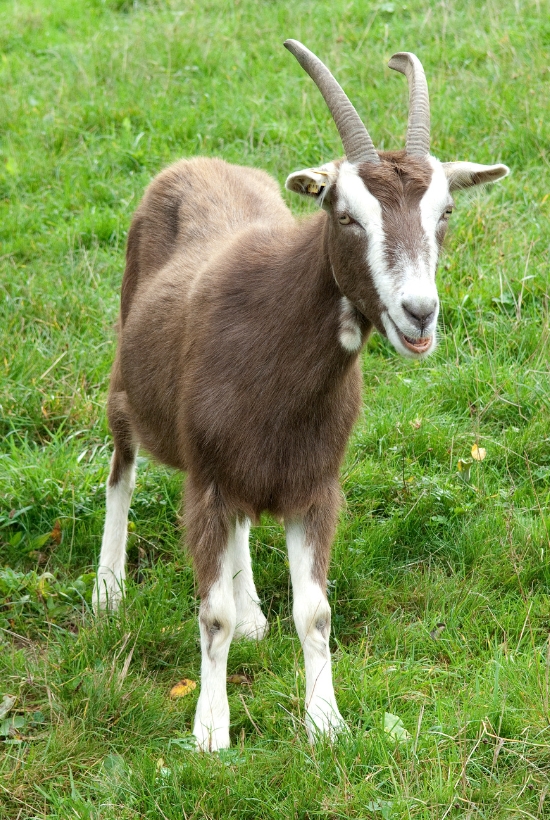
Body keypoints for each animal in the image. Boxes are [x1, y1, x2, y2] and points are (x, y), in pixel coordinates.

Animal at [92, 43, 512, 748]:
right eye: (346, 216)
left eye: (445, 213)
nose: (419, 313)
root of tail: (193, 164)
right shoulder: (206, 480)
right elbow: (211, 616)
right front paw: (211, 733)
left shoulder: (315, 483)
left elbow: (315, 612)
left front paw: (325, 722)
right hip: (127, 388)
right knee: (121, 473)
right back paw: (108, 591)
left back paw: (254, 612)